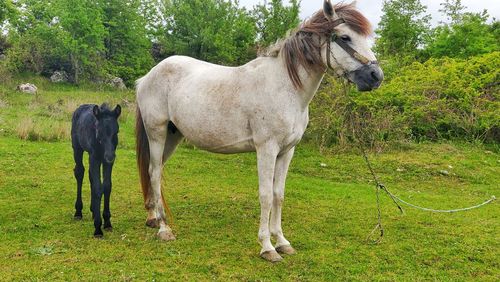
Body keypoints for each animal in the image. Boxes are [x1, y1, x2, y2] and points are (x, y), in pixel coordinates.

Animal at [71, 103, 121, 238]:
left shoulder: (107, 162)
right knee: (79, 172)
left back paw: (93, 211)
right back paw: (78, 211)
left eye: (116, 132)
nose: (109, 156)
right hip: (77, 148)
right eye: (99, 131)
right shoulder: (94, 158)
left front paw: (107, 222)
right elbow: (98, 188)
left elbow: (107, 186)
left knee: (90, 177)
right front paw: (98, 228)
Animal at [135, 1, 380, 264]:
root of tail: (147, 77)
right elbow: (265, 196)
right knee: (155, 173)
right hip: (157, 133)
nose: (376, 77)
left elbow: (278, 194)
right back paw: (164, 228)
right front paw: (267, 247)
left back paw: (152, 217)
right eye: (345, 37)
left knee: (154, 171)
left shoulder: (287, 151)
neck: (285, 87)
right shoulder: (267, 149)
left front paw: (282, 242)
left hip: (173, 136)